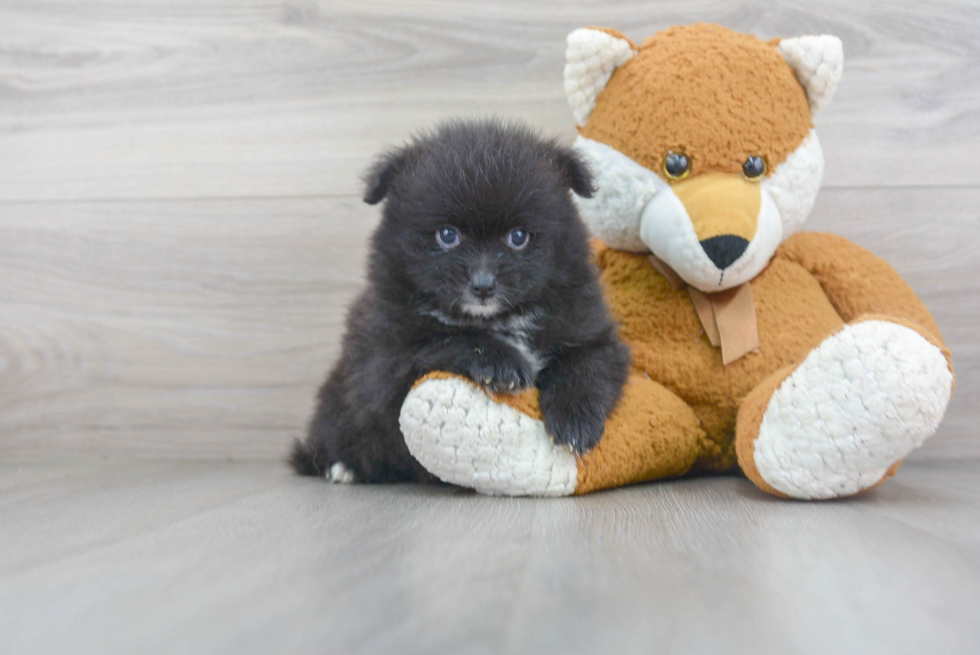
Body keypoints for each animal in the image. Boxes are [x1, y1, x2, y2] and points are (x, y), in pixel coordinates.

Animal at [288, 120, 632, 484]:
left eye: (518, 237)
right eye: (447, 236)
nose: (482, 285)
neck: (498, 318)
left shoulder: (592, 333)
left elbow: (586, 367)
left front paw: (576, 424)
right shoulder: (383, 362)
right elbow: (446, 338)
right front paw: (501, 362)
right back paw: (341, 467)